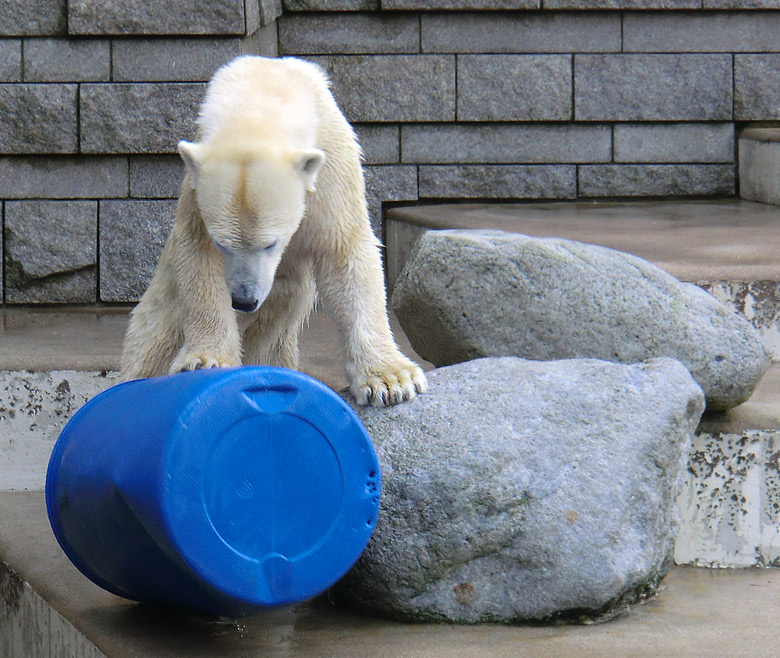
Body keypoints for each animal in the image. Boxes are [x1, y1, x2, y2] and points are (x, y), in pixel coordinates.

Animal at [119, 55, 430, 404]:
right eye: (223, 244)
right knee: (155, 341)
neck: (262, 94)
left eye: (271, 243)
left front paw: (391, 381)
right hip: (165, 308)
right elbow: (198, 255)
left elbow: (343, 250)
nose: (243, 300)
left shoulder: (332, 164)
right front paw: (206, 360)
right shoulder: (196, 189)